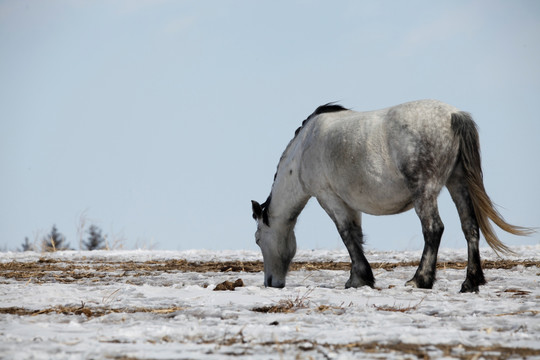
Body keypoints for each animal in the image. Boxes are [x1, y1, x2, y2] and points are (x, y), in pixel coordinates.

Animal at [251, 98, 532, 292]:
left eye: (258, 239)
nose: (270, 282)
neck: (303, 151)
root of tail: (454, 115)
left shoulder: (328, 197)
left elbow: (346, 235)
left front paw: (358, 278)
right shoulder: (351, 203)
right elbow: (355, 235)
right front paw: (359, 277)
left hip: (425, 191)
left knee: (434, 229)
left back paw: (420, 279)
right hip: (458, 183)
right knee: (470, 228)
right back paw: (470, 282)